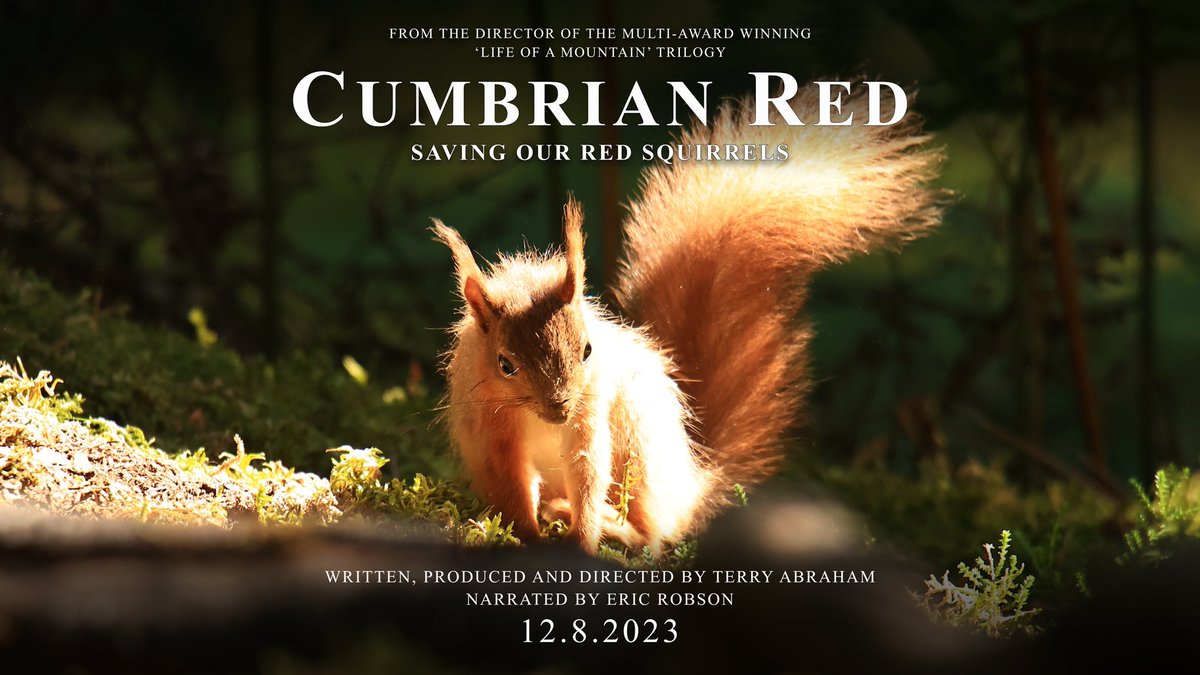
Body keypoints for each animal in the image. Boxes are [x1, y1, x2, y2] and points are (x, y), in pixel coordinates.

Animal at [432, 85, 943, 554]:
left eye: (588, 350)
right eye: (505, 364)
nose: (559, 408)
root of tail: (686, 486)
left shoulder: (591, 410)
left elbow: (588, 469)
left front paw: (581, 541)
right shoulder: (491, 432)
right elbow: (511, 484)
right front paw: (526, 538)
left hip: (637, 439)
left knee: (652, 528)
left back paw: (611, 525)